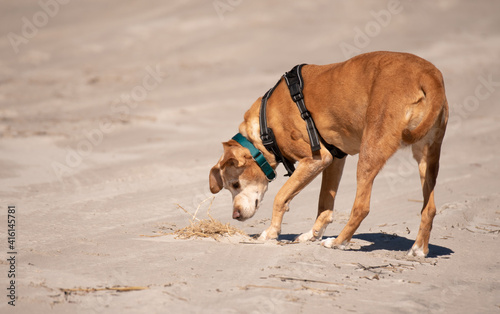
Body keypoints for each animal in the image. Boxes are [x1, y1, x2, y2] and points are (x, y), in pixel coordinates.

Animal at [208, 52, 450, 258]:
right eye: (229, 187)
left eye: (235, 184)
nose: (235, 215)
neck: (265, 127)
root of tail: (427, 74)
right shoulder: (334, 160)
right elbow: (324, 205)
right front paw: (311, 235)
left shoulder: (315, 159)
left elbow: (281, 197)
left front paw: (271, 232)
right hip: (427, 158)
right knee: (429, 208)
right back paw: (418, 250)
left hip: (370, 152)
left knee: (361, 208)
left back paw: (338, 242)